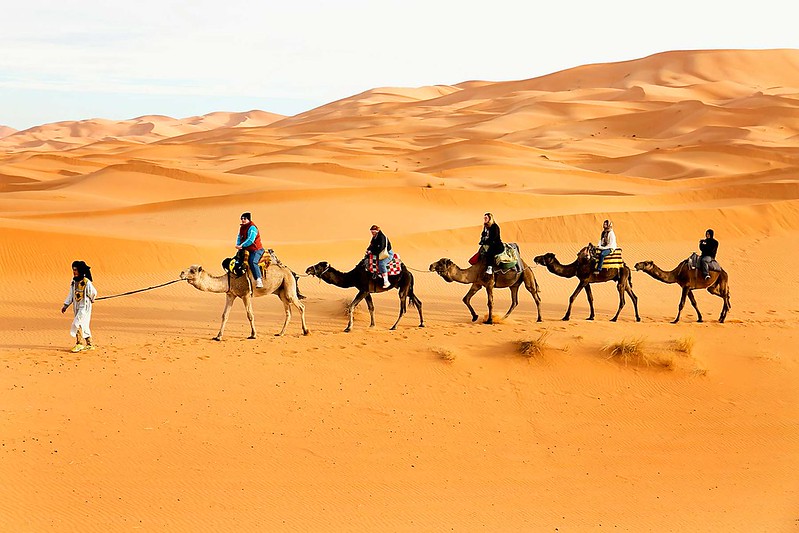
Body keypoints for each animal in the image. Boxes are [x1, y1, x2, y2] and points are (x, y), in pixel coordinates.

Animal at [180, 263, 309, 340]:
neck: (229, 280)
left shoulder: (246, 294)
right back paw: (280, 333)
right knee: (288, 312)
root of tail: (291, 272)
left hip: (288, 286)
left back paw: (306, 331)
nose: (181, 273)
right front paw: (218, 336)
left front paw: (253, 335)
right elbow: (224, 315)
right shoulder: (230, 295)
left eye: (192, 271)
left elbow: (250, 315)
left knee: (301, 306)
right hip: (281, 292)